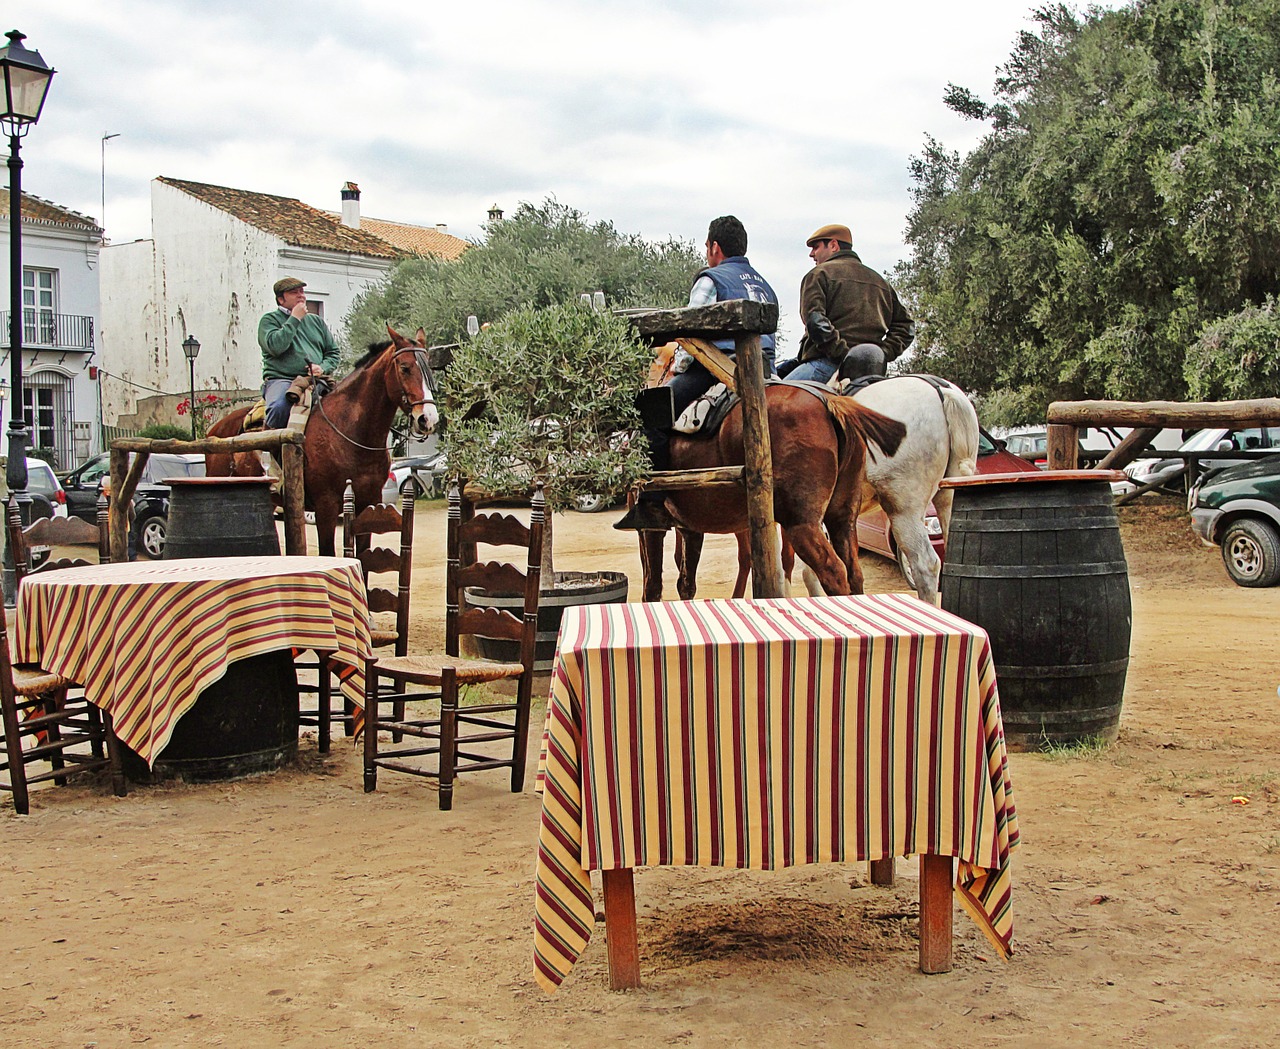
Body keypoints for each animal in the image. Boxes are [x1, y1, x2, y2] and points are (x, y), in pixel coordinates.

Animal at [202, 323, 437, 557]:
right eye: (405, 367)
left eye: (429, 369)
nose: (427, 418)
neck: (349, 434)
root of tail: (215, 429)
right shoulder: (326, 508)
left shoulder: (369, 503)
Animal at [637, 383, 901, 598]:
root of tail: (830, 402)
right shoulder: (690, 527)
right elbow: (685, 583)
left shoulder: (652, 527)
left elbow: (652, 585)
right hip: (841, 519)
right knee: (853, 572)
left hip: (801, 524)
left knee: (833, 572)